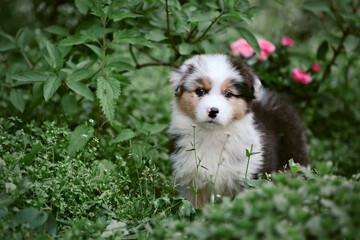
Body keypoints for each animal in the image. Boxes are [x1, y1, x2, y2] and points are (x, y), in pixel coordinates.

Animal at [168, 53, 306, 207]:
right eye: (200, 91)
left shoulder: (249, 177)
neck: (213, 135)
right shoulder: (188, 181)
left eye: (228, 94)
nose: (213, 111)